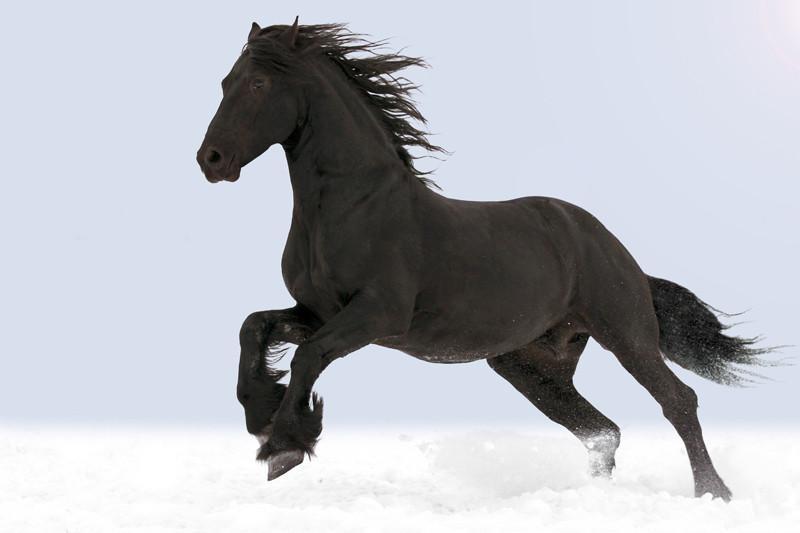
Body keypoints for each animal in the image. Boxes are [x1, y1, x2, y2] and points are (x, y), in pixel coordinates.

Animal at [196, 20, 773, 501]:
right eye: (225, 82)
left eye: (258, 85)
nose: (211, 160)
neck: (354, 206)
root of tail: (617, 252)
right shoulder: (317, 310)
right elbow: (255, 328)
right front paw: (262, 414)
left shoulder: (378, 315)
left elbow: (307, 356)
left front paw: (284, 444)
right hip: (530, 365)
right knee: (601, 430)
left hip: (626, 334)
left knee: (677, 401)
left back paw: (714, 493)